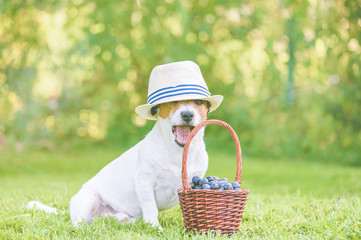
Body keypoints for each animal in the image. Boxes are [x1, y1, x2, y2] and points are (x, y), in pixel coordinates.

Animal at [28, 60, 224, 229]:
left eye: (198, 102)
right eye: (173, 102)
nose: (187, 114)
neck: (176, 151)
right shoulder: (145, 182)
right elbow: (151, 208)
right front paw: (155, 228)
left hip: (113, 215)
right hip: (88, 199)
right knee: (79, 223)